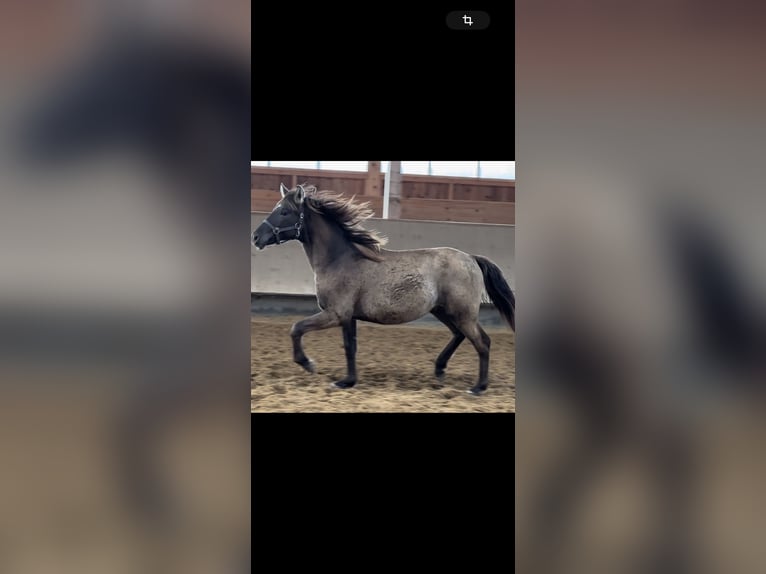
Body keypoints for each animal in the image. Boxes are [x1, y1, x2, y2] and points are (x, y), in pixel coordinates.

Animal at [251, 183, 515, 395]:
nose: (256, 237)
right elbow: (350, 347)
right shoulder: (348, 317)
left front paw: (308, 363)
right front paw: (347, 381)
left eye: (284, 211)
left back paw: (478, 387)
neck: (339, 259)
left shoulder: (335, 314)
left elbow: (296, 328)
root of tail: (471, 258)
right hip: (443, 311)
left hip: (463, 314)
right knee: (459, 335)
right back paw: (440, 370)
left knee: (482, 342)